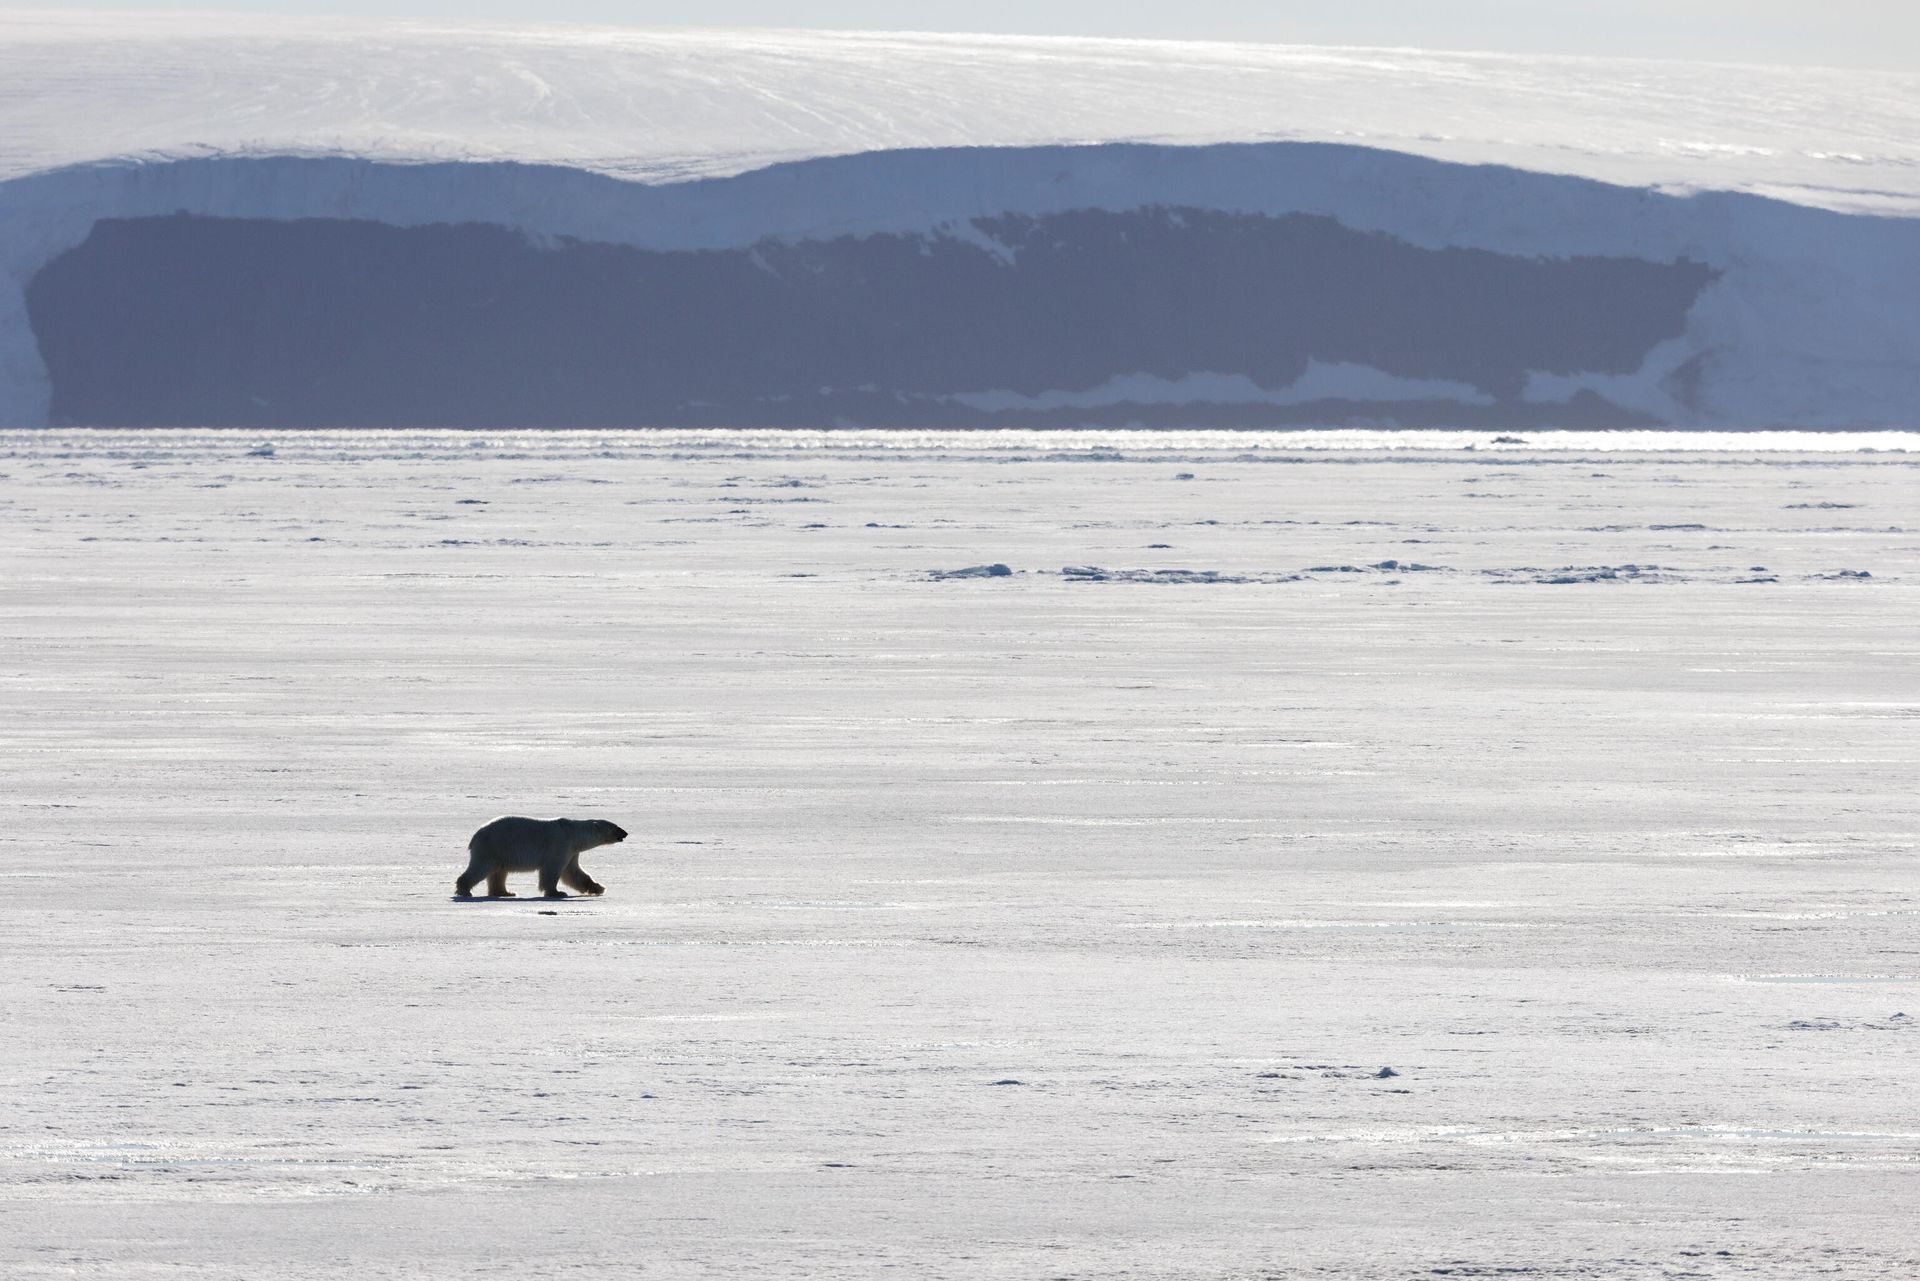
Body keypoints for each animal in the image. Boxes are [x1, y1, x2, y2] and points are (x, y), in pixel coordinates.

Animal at [455, 816, 629, 900]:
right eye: (615, 827)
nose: (626, 832)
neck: (573, 832)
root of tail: (475, 836)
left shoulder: (572, 852)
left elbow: (573, 873)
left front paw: (598, 888)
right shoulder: (560, 844)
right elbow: (553, 870)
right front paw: (557, 893)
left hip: (500, 852)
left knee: (498, 873)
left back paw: (506, 892)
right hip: (491, 847)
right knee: (480, 868)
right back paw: (464, 890)